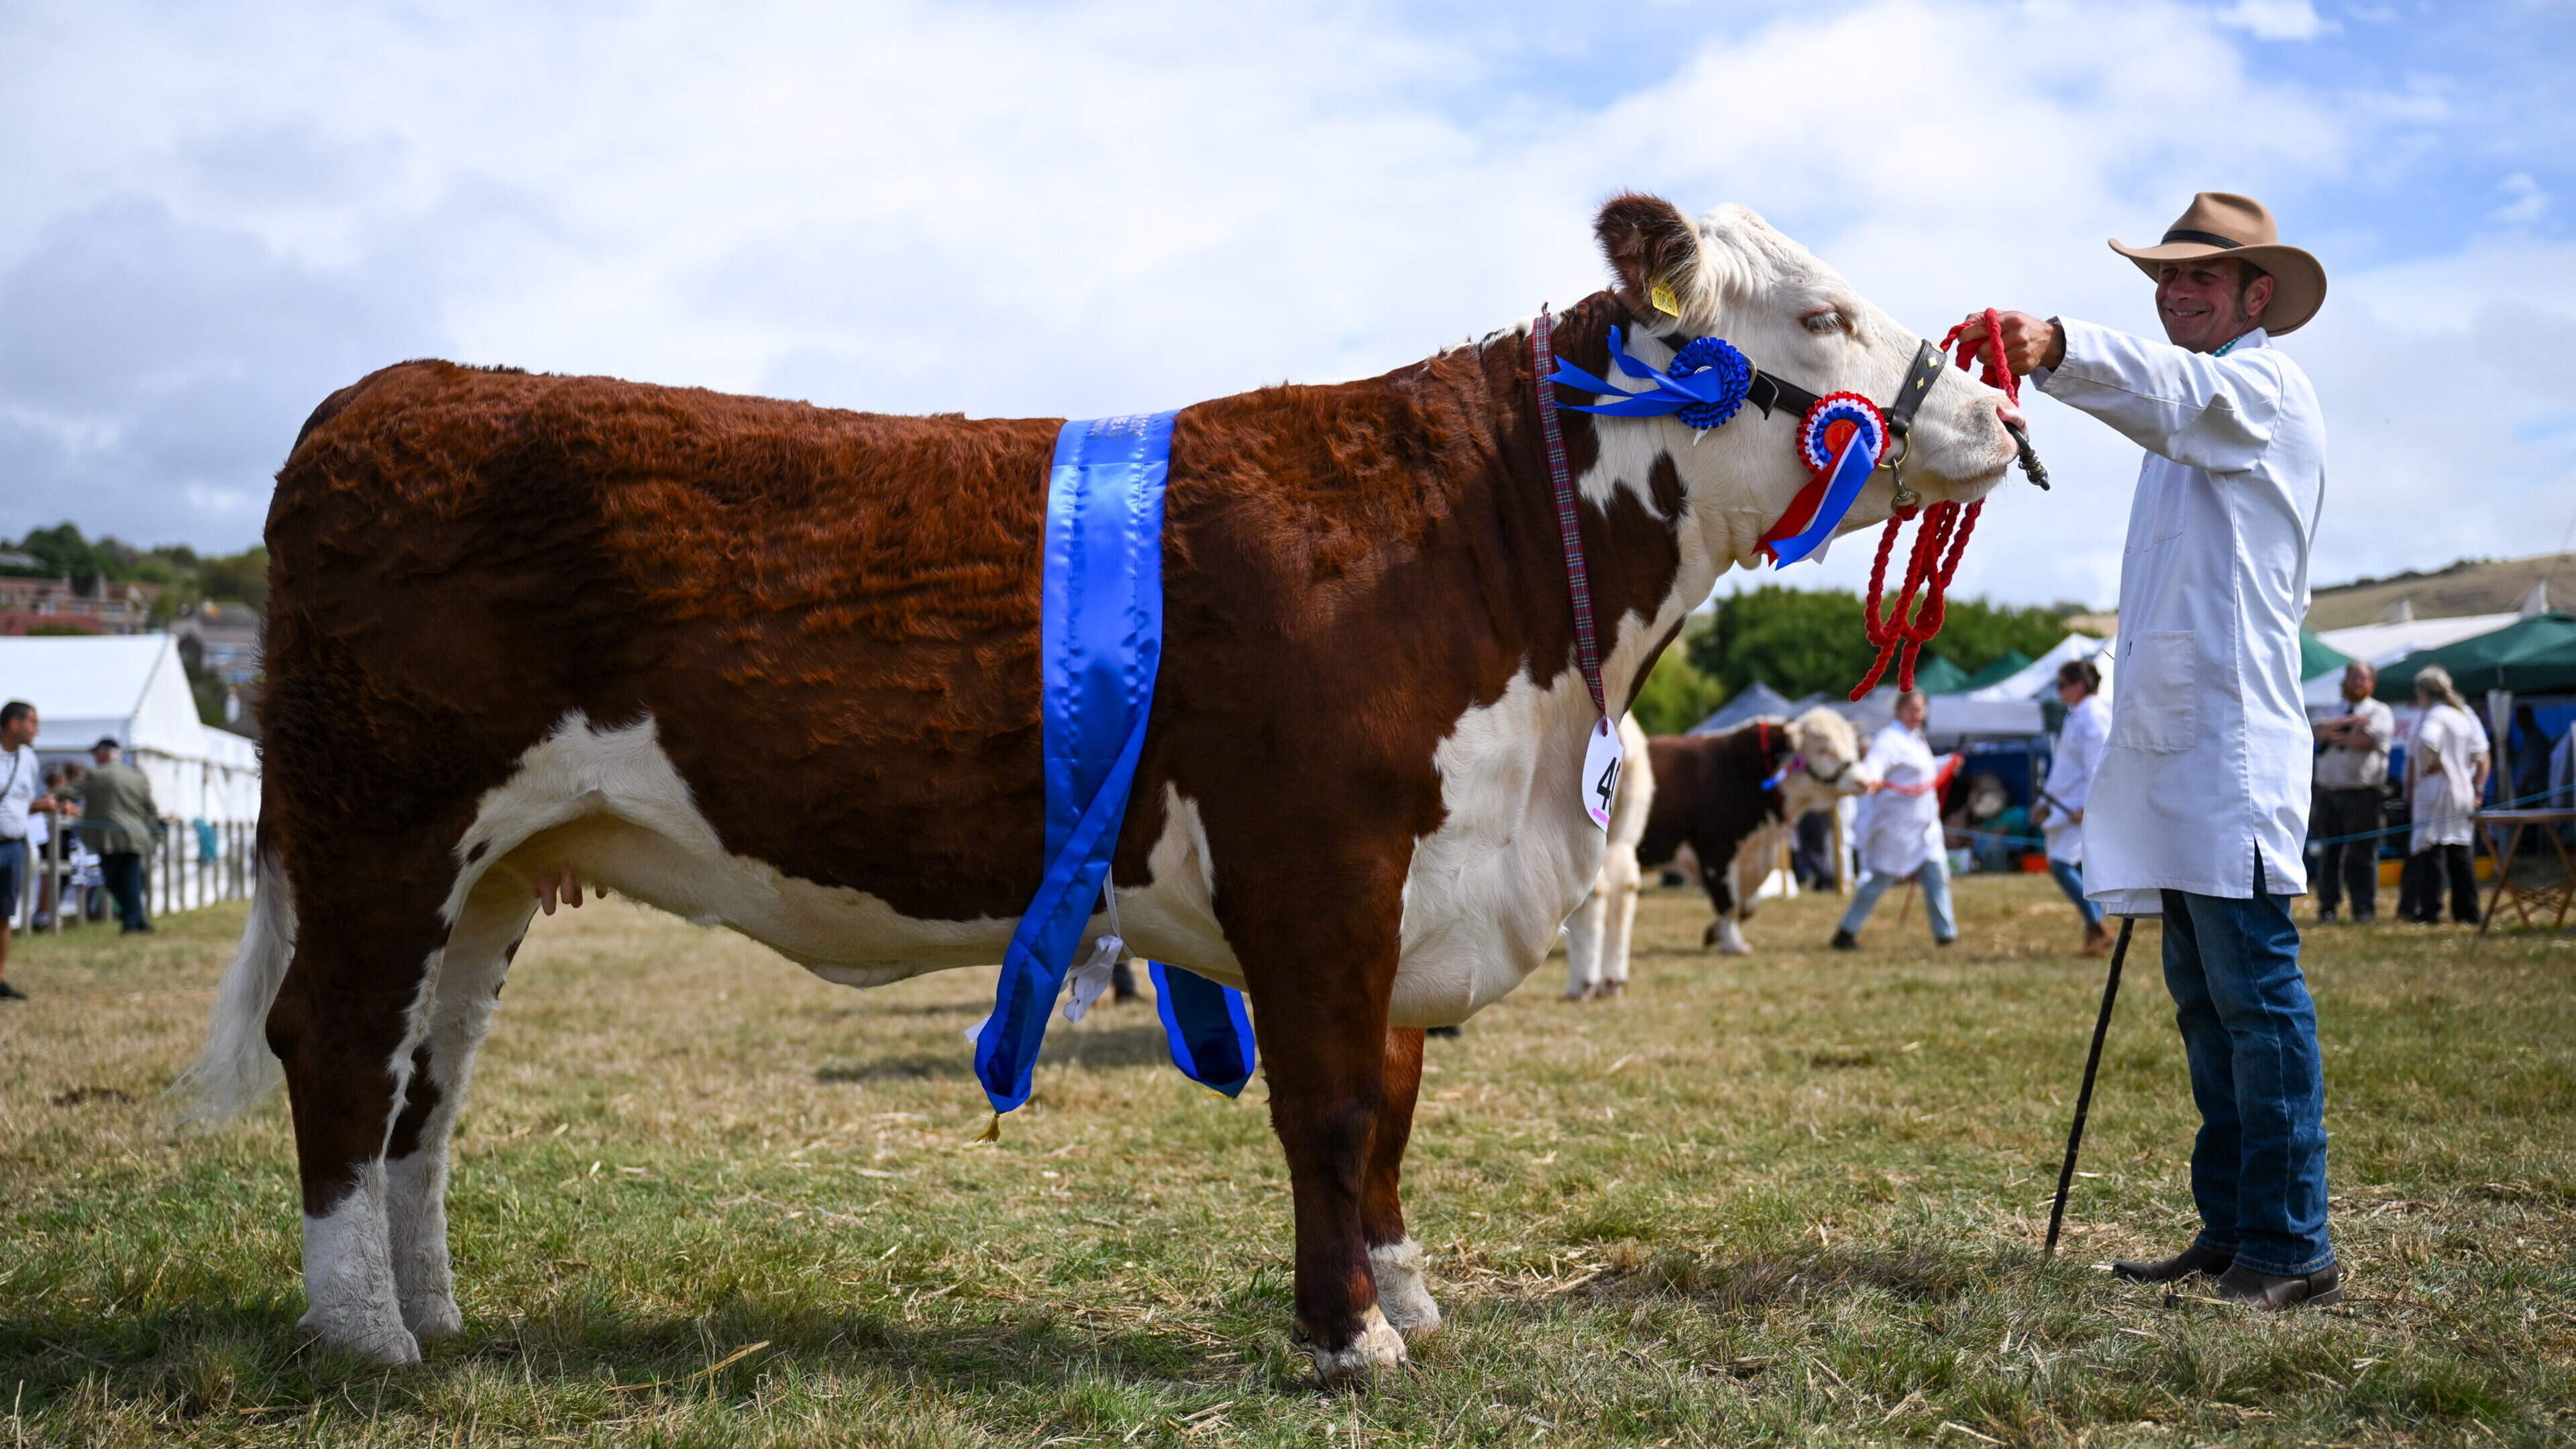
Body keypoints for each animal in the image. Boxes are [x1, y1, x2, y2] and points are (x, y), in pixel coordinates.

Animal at [1564, 706, 1867, 997]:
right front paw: (1731, 942)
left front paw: (1719, 935)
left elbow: (1746, 903)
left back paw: (1600, 981)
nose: (1866, 782)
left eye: (1851, 745)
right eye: (1824, 749)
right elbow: (1728, 902)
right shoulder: (1716, 854)